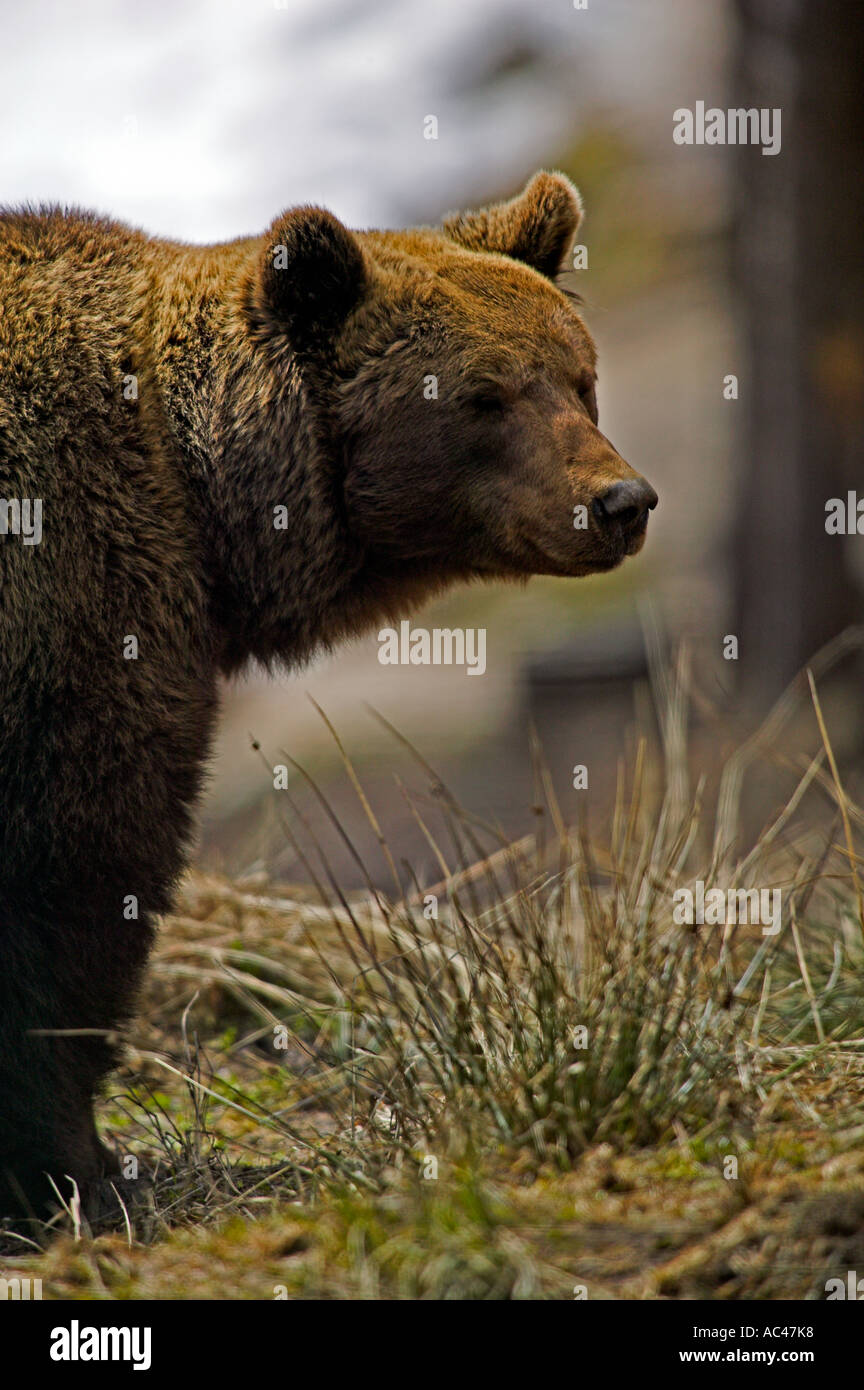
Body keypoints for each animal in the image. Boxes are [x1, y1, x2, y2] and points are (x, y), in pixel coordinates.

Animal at [0, 171, 656, 1223]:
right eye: (484, 396)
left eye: (579, 377)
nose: (619, 502)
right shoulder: (78, 607)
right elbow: (80, 875)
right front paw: (78, 1165)